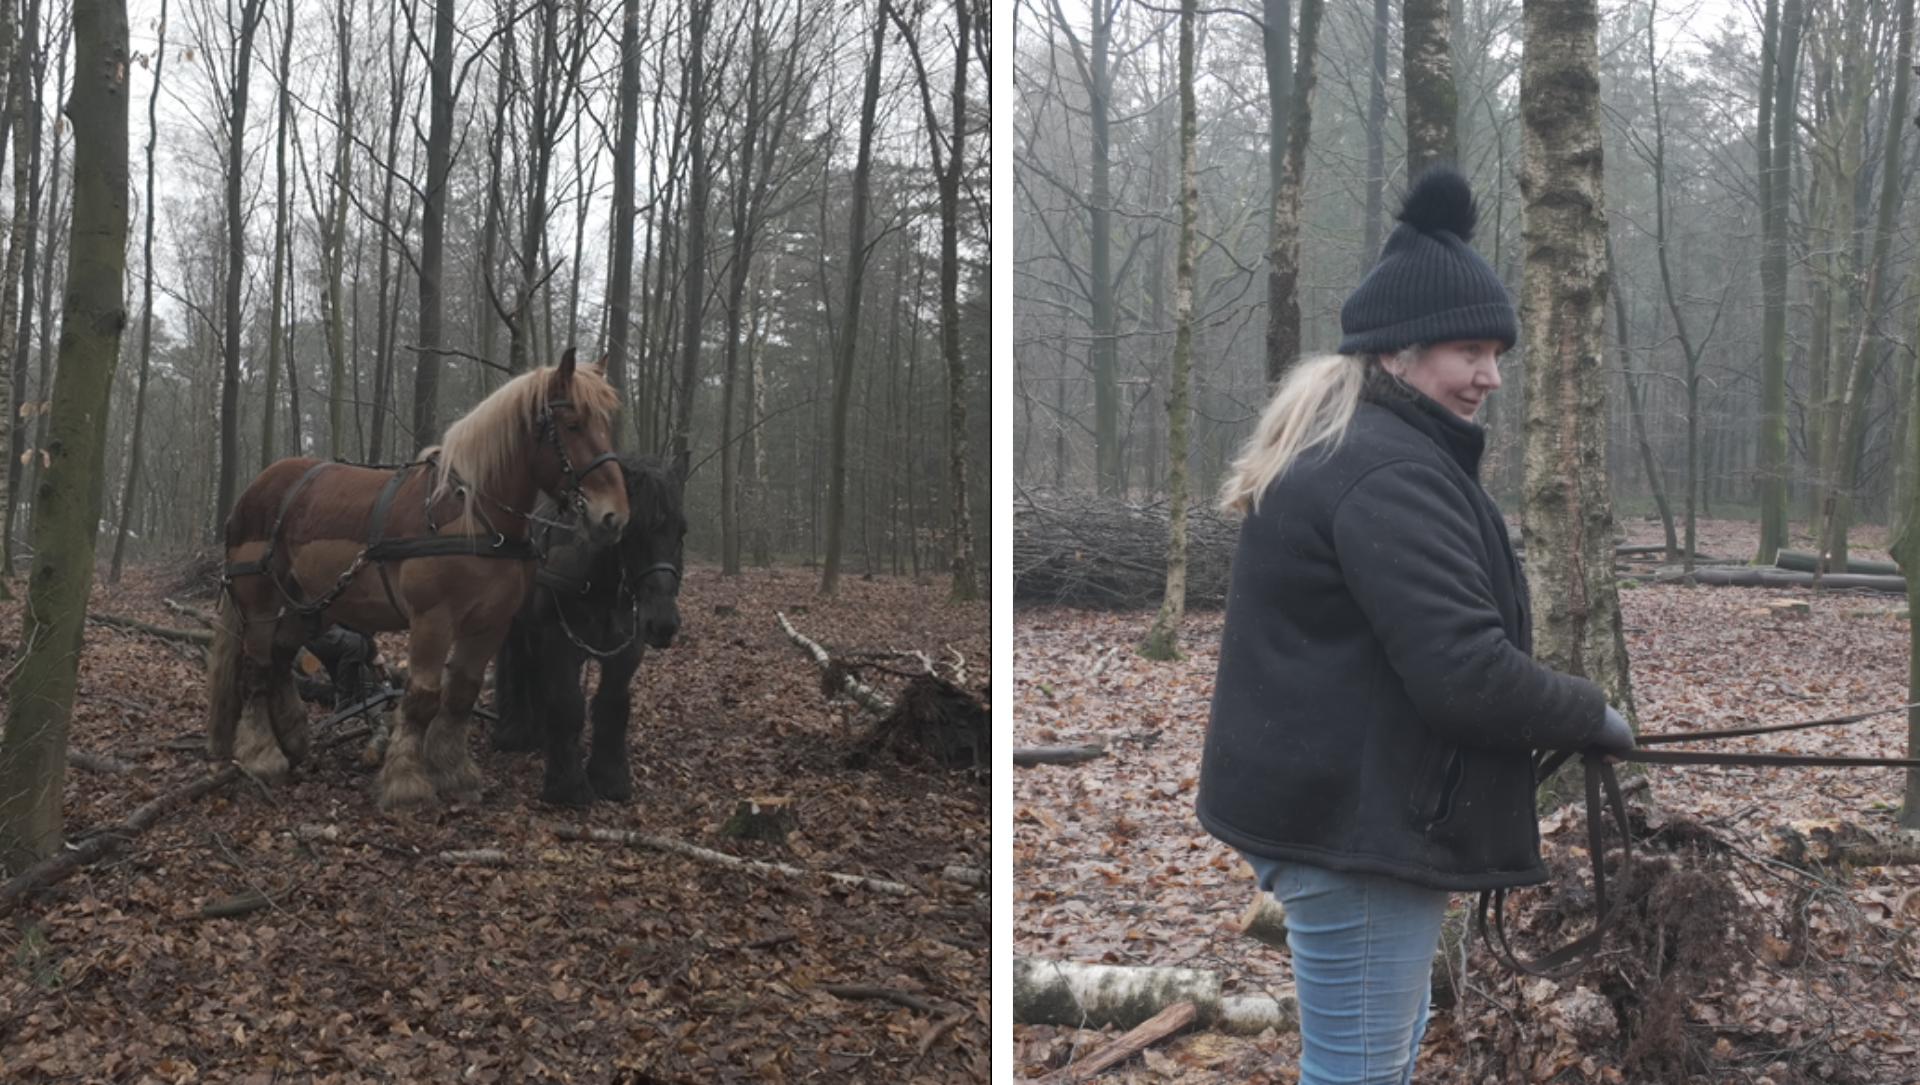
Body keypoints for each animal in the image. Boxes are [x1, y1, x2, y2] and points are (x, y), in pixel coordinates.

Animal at [205, 350, 629, 809]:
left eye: (605, 425)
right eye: (573, 425)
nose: (614, 516)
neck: (472, 516)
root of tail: (253, 491)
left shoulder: (489, 625)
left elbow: (461, 694)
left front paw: (454, 771)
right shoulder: (432, 620)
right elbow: (423, 697)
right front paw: (407, 781)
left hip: (311, 605)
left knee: (281, 658)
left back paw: (295, 739)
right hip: (260, 602)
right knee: (256, 669)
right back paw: (263, 754)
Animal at [491, 450, 686, 806]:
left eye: (681, 533)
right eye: (631, 532)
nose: (663, 624)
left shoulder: (628, 648)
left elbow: (612, 704)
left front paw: (609, 777)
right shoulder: (560, 639)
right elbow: (568, 703)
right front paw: (568, 786)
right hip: (517, 623)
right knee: (520, 665)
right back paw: (515, 730)